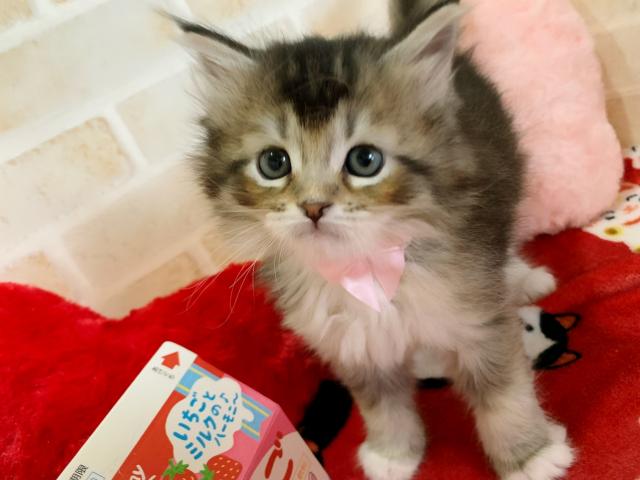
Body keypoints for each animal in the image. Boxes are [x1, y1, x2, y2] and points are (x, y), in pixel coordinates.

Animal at [178, 0, 574, 478]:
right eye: (274, 163)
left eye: (364, 160)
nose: (313, 207)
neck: (364, 265)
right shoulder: (353, 342)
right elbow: (382, 405)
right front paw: (393, 454)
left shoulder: (477, 316)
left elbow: (504, 393)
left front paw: (530, 455)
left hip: (506, 188)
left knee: (506, 243)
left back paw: (524, 278)